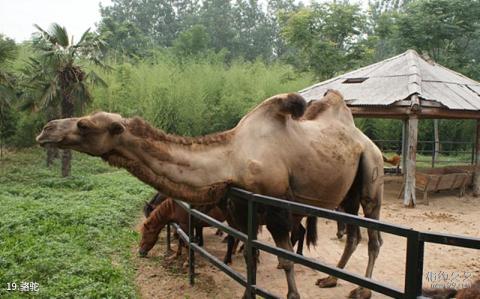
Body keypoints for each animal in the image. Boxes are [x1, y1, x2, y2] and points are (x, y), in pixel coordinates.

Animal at [35, 89, 384, 299]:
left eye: (84, 124)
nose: (45, 129)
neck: (232, 158)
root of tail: (366, 140)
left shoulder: (275, 209)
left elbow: (283, 259)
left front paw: (291, 295)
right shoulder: (241, 208)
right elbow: (249, 256)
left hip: (372, 171)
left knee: (374, 236)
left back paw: (362, 290)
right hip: (347, 193)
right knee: (354, 233)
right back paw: (332, 279)